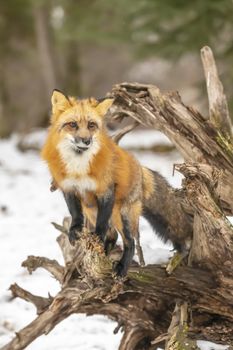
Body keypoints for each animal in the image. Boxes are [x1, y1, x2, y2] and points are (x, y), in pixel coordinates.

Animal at [41, 91, 192, 278]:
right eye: (73, 124)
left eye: (91, 125)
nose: (86, 140)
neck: (79, 168)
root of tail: (139, 166)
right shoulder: (69, 188)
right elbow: (75, 214)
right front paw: (75, 230)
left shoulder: (106, 191)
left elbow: (101, 226)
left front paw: (97, 237)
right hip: (92, 210)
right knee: (113, 236)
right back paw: (103, 255)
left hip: (123, 215)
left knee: (130, 242)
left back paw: (121, 267)